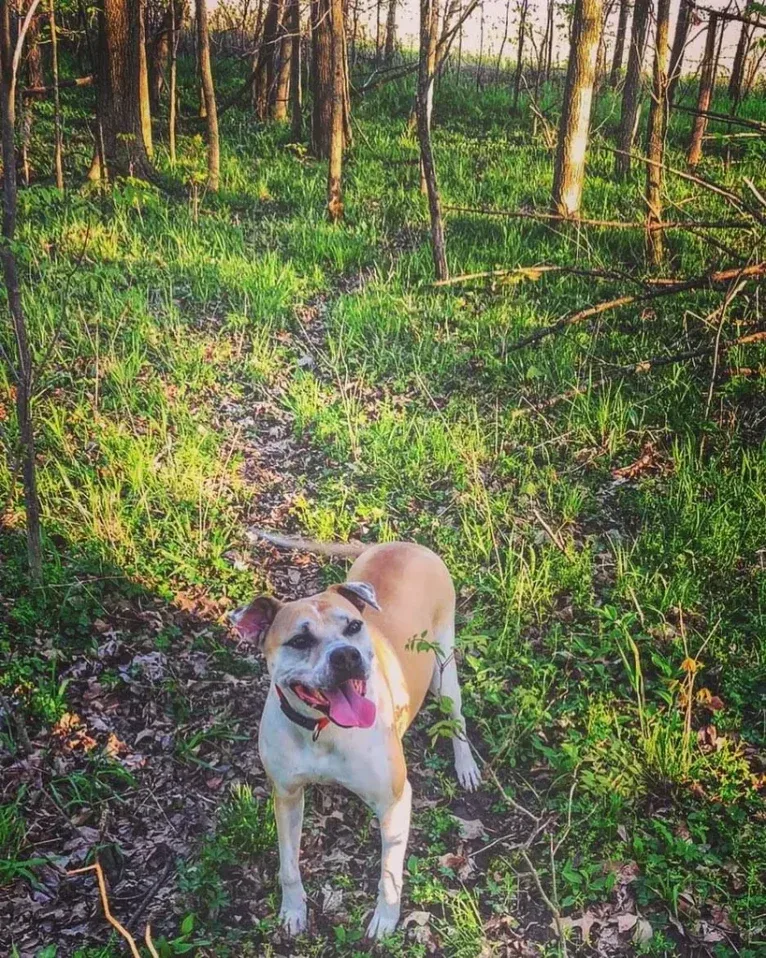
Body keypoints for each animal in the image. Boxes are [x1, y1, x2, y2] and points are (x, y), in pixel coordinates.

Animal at [231, 536, 484, 940]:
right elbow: (288, 865)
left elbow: (389, 873)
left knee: (455, 716)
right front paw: (293, 909)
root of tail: (405, 543)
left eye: (353, 627)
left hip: (444, 670)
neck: (323, 730)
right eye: (299, 640)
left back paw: (466, 766)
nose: (346, 656)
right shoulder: (286, 795)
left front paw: (386, 918)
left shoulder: (395, 801)